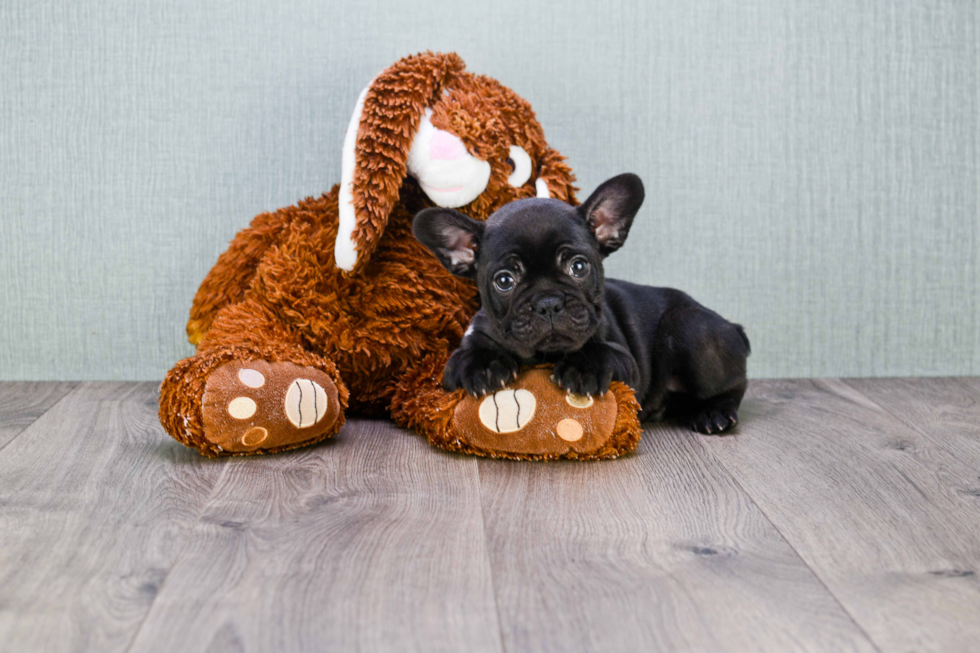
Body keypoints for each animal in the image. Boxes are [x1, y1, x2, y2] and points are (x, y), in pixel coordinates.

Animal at [412, 173, 752, 432]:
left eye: (578, 266)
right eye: (504, 281)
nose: (548, 302)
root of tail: (733, 326)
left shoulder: (627, 365)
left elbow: (602, 351)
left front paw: (584, 366)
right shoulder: (459, 359)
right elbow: (469, 355)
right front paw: (483, 364)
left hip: (688, 326)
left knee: (735, 384)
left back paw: (714, 413)